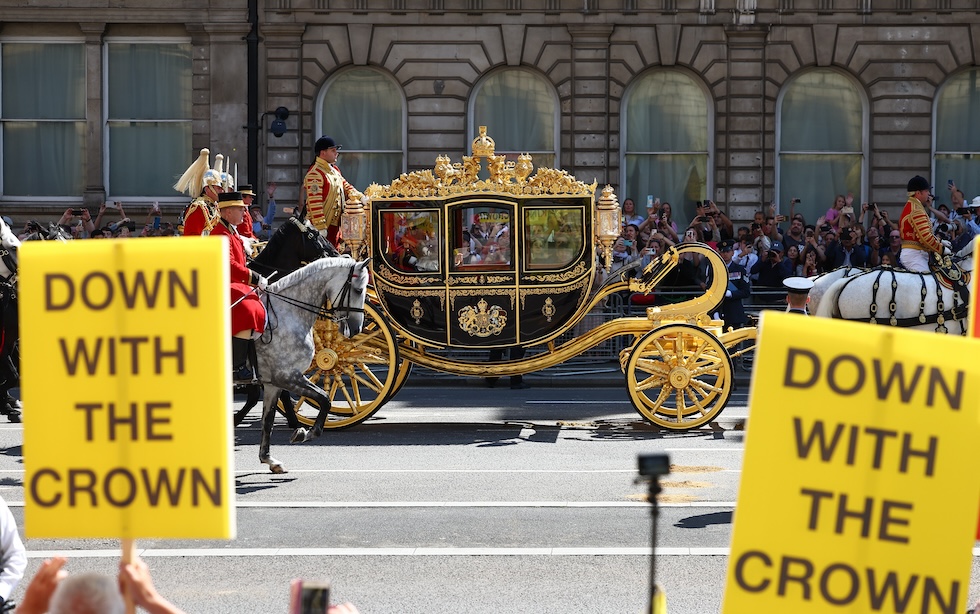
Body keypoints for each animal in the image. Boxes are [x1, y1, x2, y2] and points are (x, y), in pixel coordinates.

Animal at [255, 258, 370, 474]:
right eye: (359, 290)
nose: (358, 328)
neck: (286, 314)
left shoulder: (274, 383)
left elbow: (268, 421)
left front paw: (269, 459)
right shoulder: (287, 376)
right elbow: (325, 399)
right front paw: (306, 433)